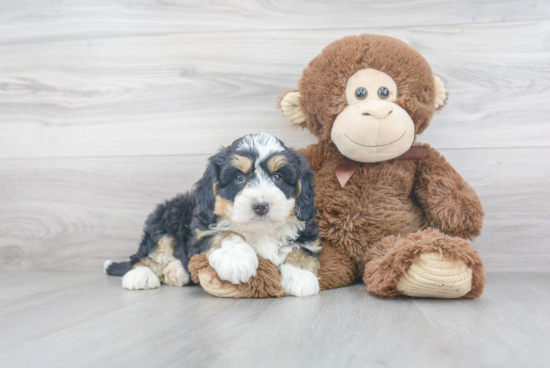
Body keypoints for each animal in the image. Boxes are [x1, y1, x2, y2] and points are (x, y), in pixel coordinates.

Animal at [104, 134, 324, 298]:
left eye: (277, 177)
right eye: (239, 177)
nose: (261, 206)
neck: (260, 229)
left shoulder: (307, 228)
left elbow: (301, 249)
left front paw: (301, 276)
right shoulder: (200, 231)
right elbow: (223, 234)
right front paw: (237, 260)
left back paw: (177, 273)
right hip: (165, 219)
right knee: (146, 253)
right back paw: (140, 275)